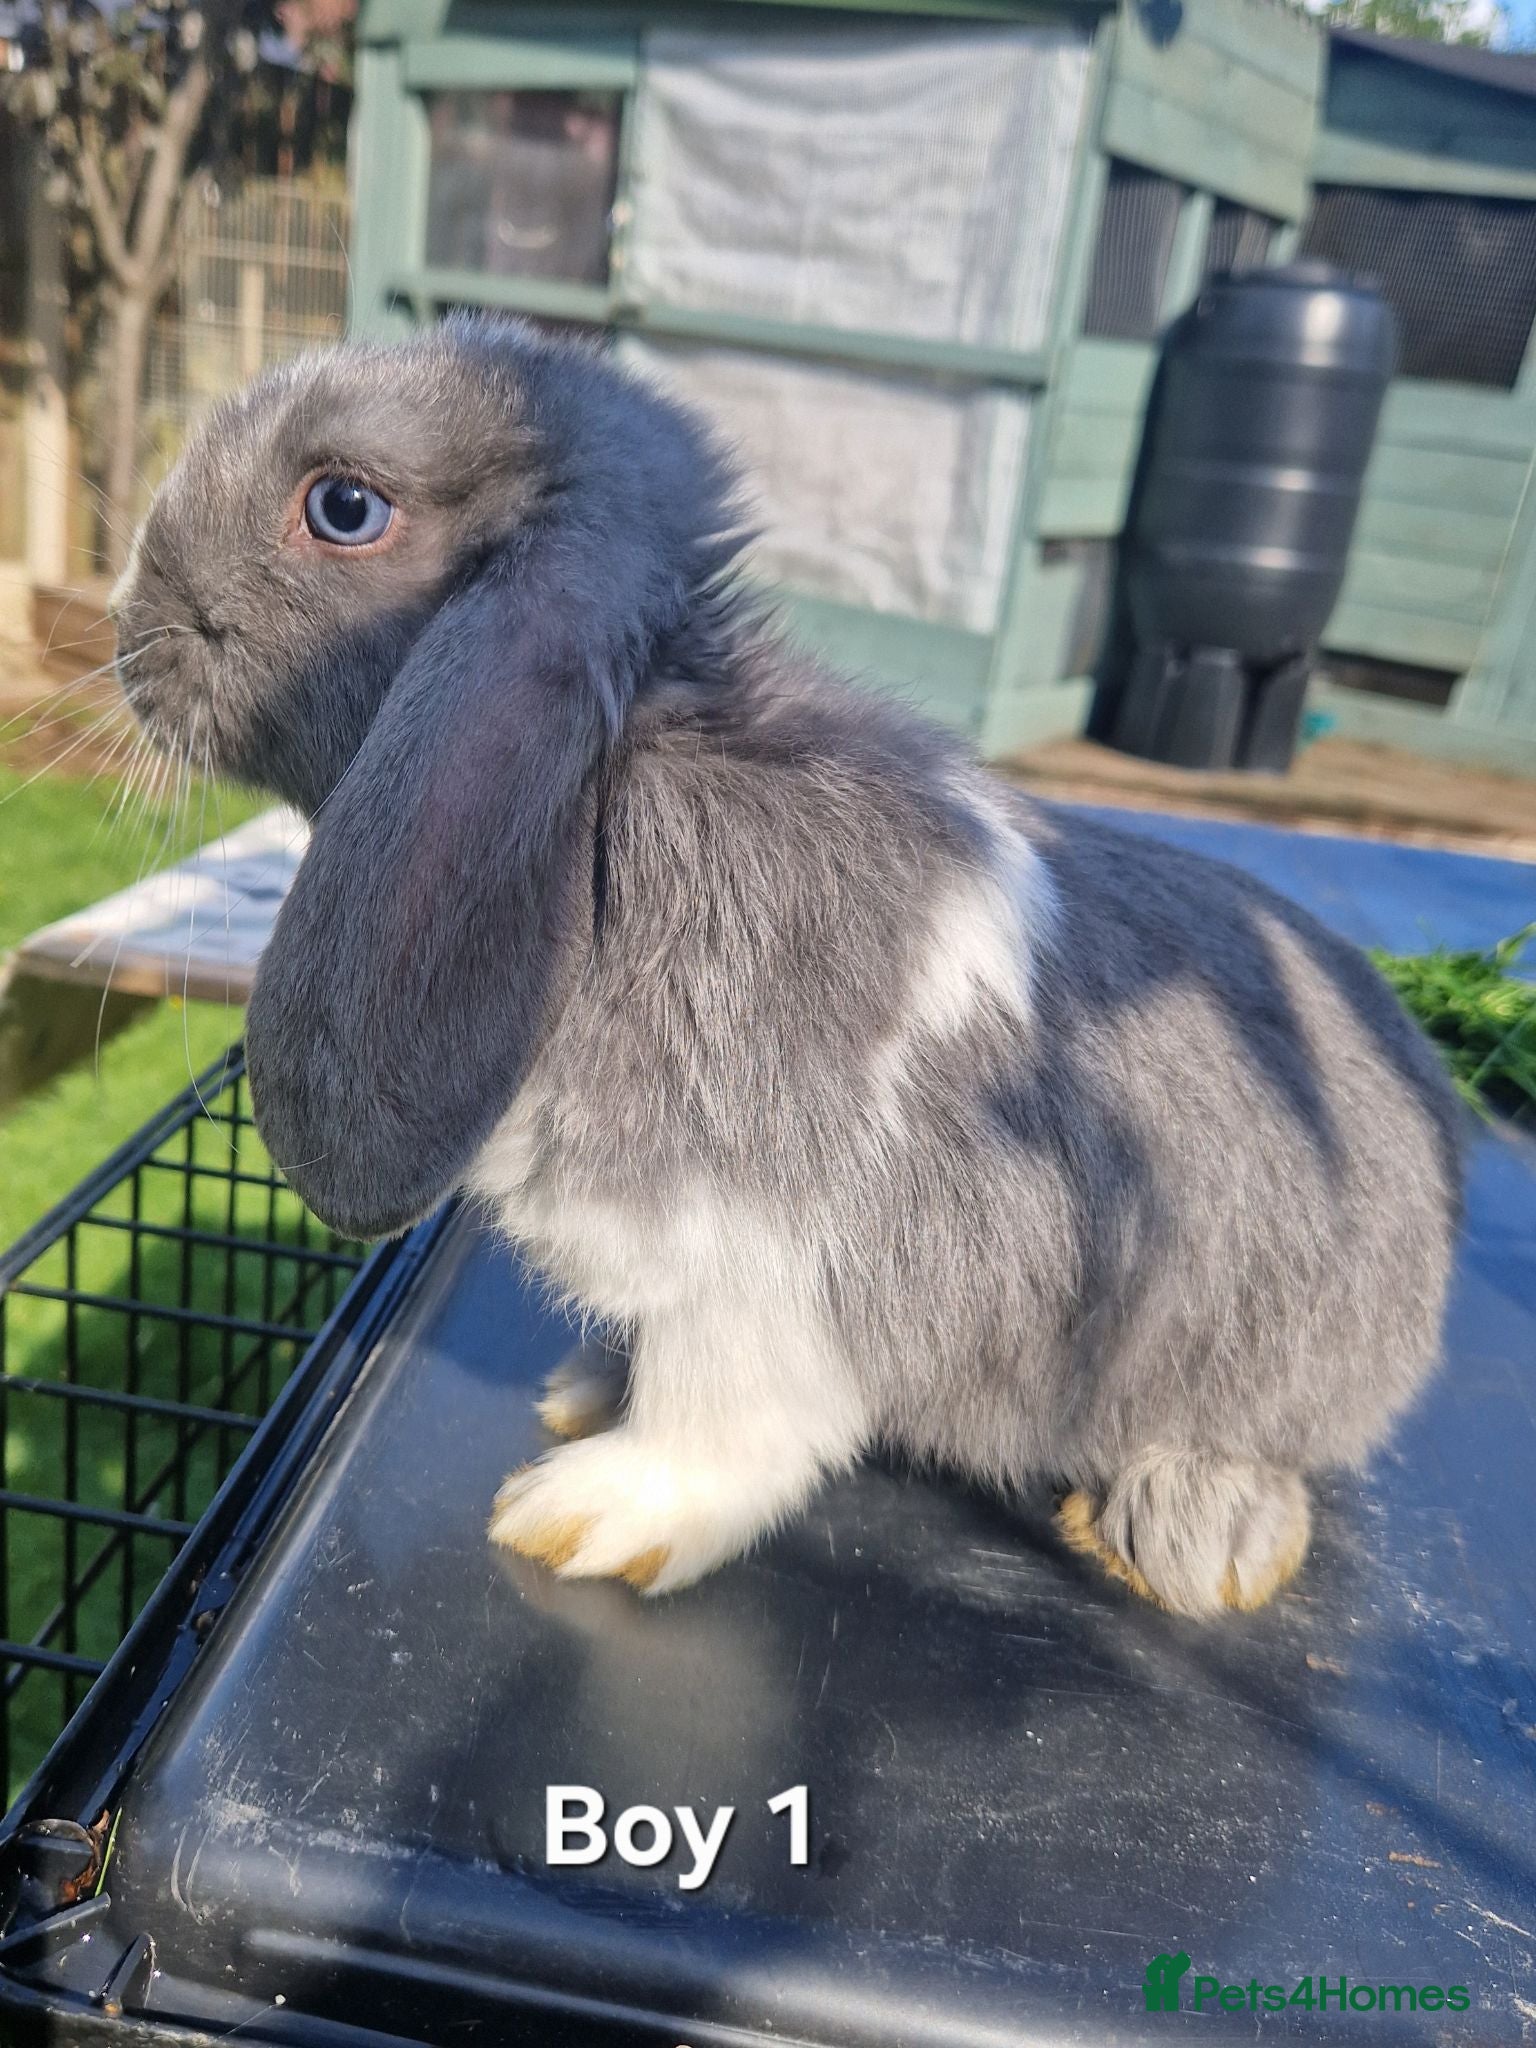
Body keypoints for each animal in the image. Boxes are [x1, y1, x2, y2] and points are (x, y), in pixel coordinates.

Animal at [110, 314, 1464, 1617]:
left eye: (343, 506)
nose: (126, 624)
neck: (623, 794)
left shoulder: (769, 1272)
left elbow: (725, 1420)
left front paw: (590, 1512)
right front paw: (586, 1396)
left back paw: (1196, 1532)